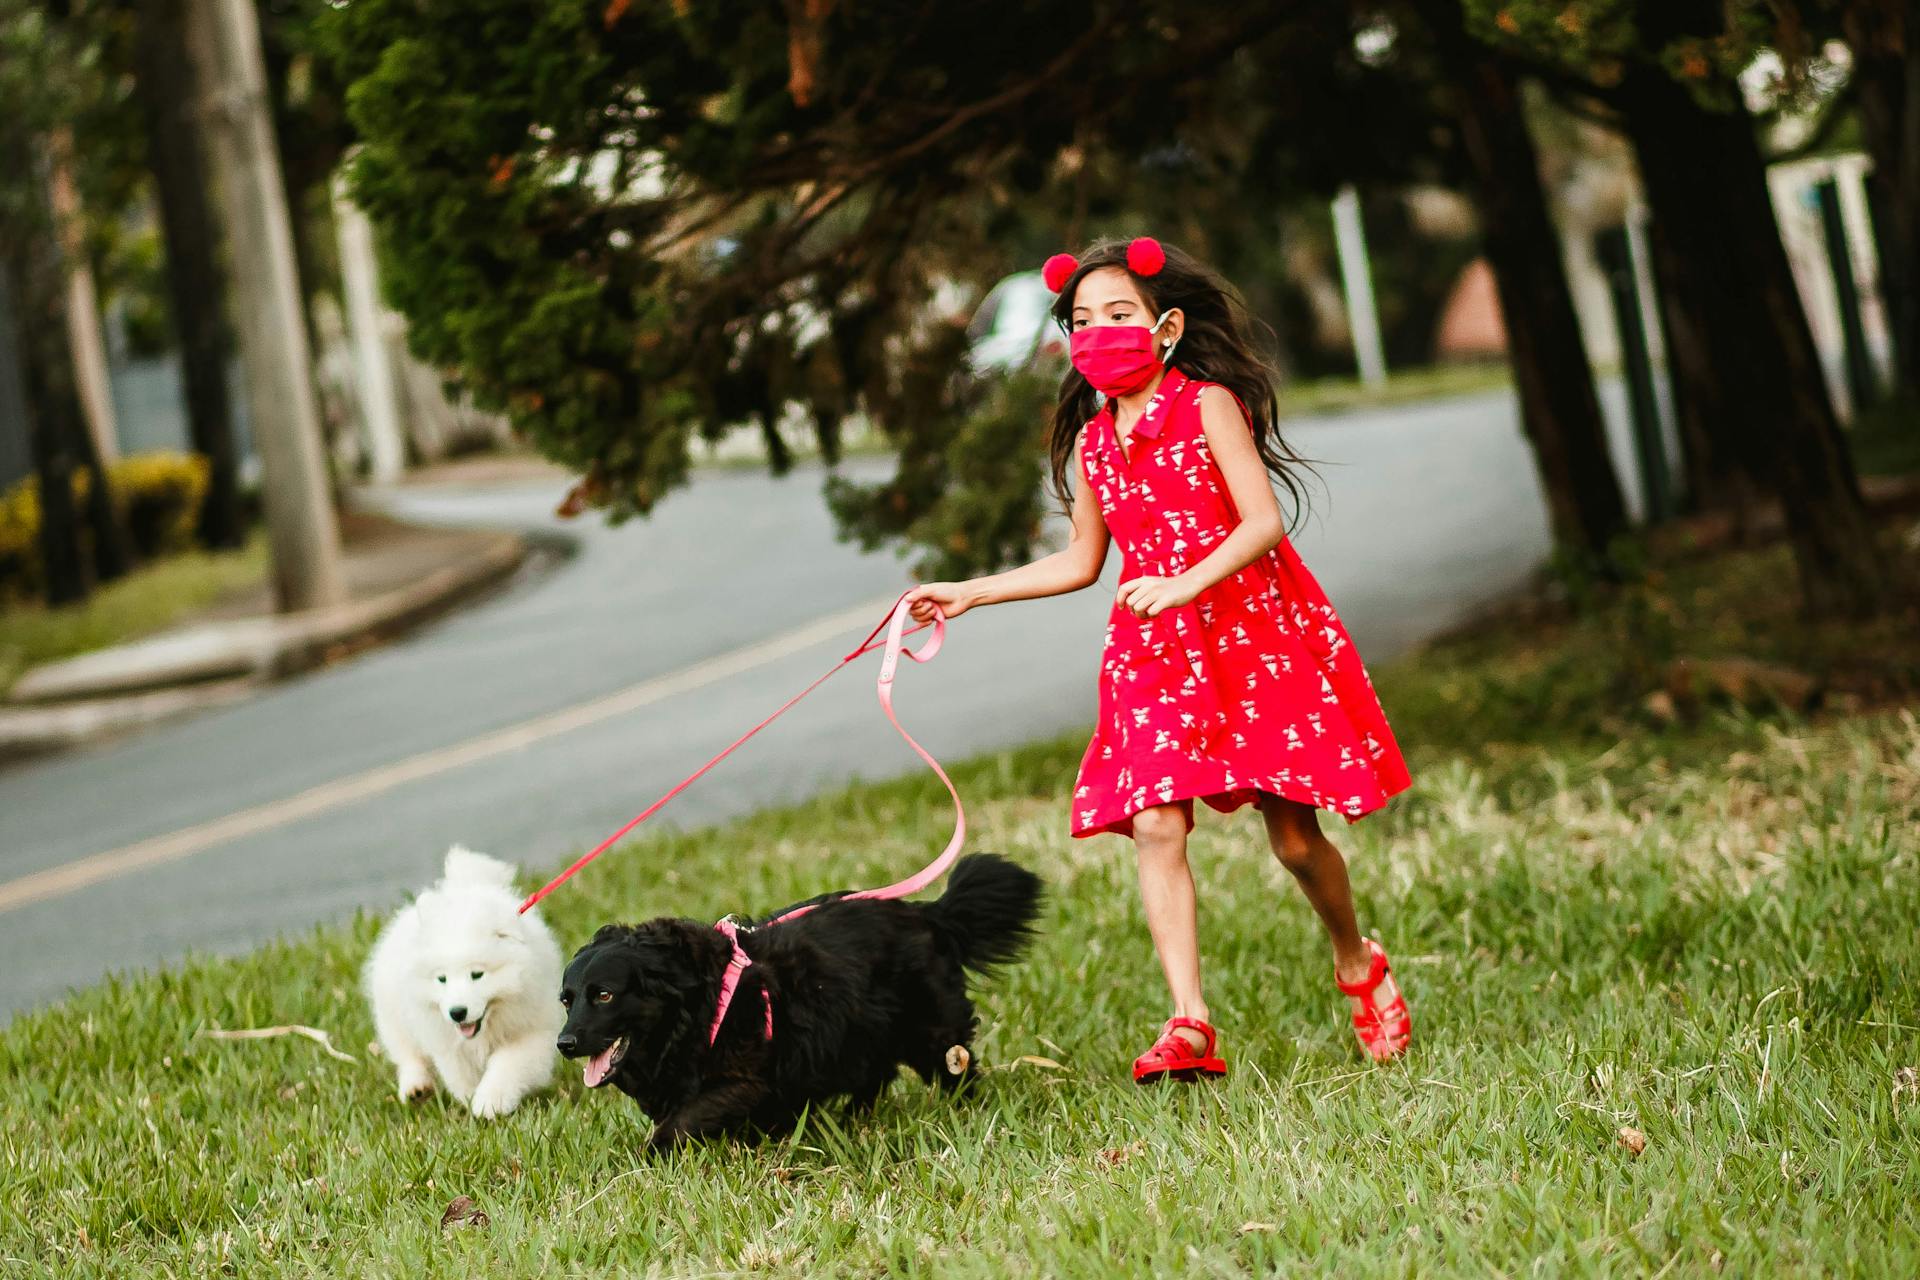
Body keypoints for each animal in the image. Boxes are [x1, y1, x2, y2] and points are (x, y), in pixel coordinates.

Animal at [362, 852, 564, 1120]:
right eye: (442, 979)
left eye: (477, 974)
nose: (457, 1012)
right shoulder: (445, 1041)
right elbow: (460, 1075)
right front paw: (471, 1099)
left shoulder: (531, 1031)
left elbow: (508, 1065)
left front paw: (490, 1102)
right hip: (393, 1015)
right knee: (407, 1053)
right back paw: (416, 1088)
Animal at [556, 855, 1044, 1143]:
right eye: (566, 1000)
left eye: (604, 995)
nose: (564, 1043)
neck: (699, 1004)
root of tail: (929, 913)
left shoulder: (742, 1081)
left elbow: (681, 1123)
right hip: (860, 1033)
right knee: (876, 1073)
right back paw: (852, 1120)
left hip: (928, 1030)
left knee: (955, 1068)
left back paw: (966, 1111)